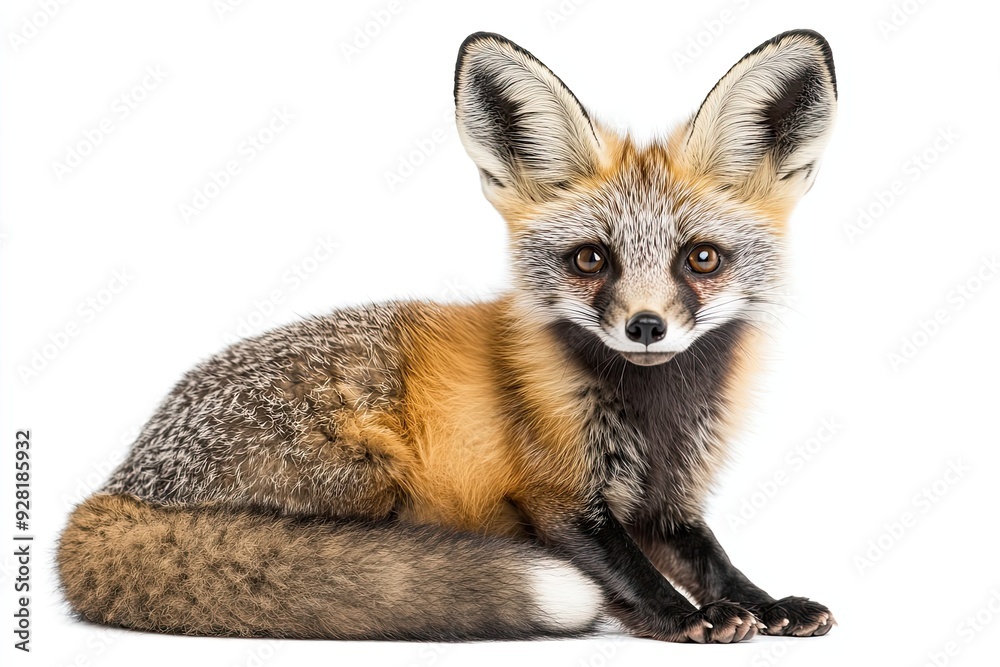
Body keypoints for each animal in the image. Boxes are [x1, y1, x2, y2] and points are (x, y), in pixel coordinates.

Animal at [57, 30, 838, 643]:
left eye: (701, 259)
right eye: (591, 260)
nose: (645, 326)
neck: (656, 413)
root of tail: (119, 484)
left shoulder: (670, 497)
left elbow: (715, 560)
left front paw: (769, 603)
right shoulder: (556, 495)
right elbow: (630, 570)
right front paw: (681, 618)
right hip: (372, 470)